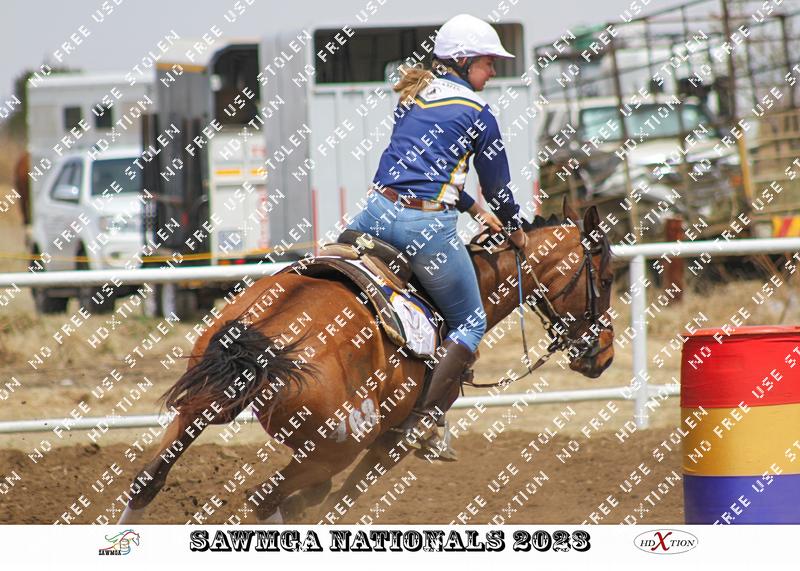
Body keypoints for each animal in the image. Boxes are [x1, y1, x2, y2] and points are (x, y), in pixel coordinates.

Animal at [117, 198, 615, 524]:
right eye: (608, 277)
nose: (606, 354)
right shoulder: (388, 444)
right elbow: (337, 504)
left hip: (205, 406)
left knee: (149, 481)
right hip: (335, 448)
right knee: (263, 499)